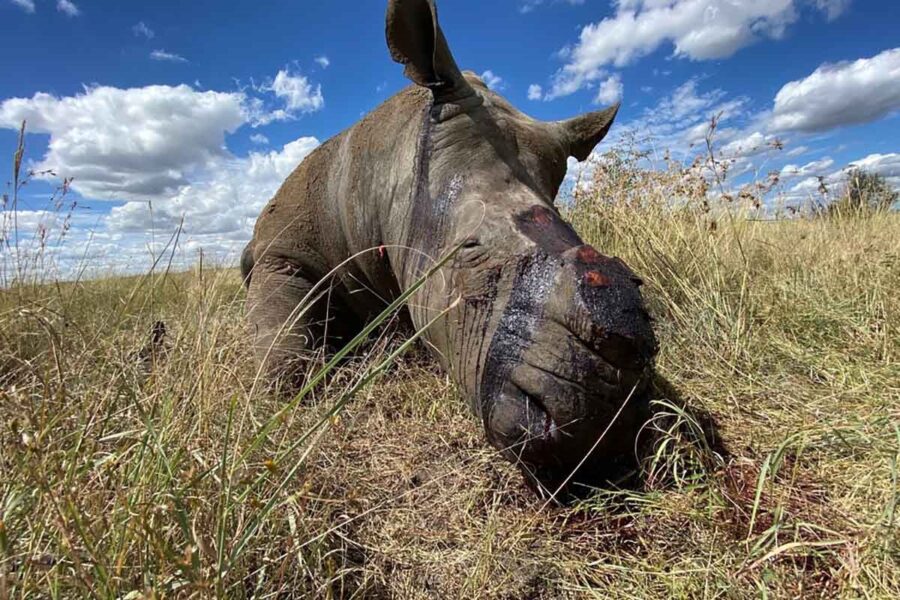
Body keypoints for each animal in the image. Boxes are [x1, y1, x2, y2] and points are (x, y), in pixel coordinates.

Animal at [243, 0, 656, 490]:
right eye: (469, 249)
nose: (605, 413)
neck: (389, 169)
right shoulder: (283, 252)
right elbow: (282, 360)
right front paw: (278, 396)